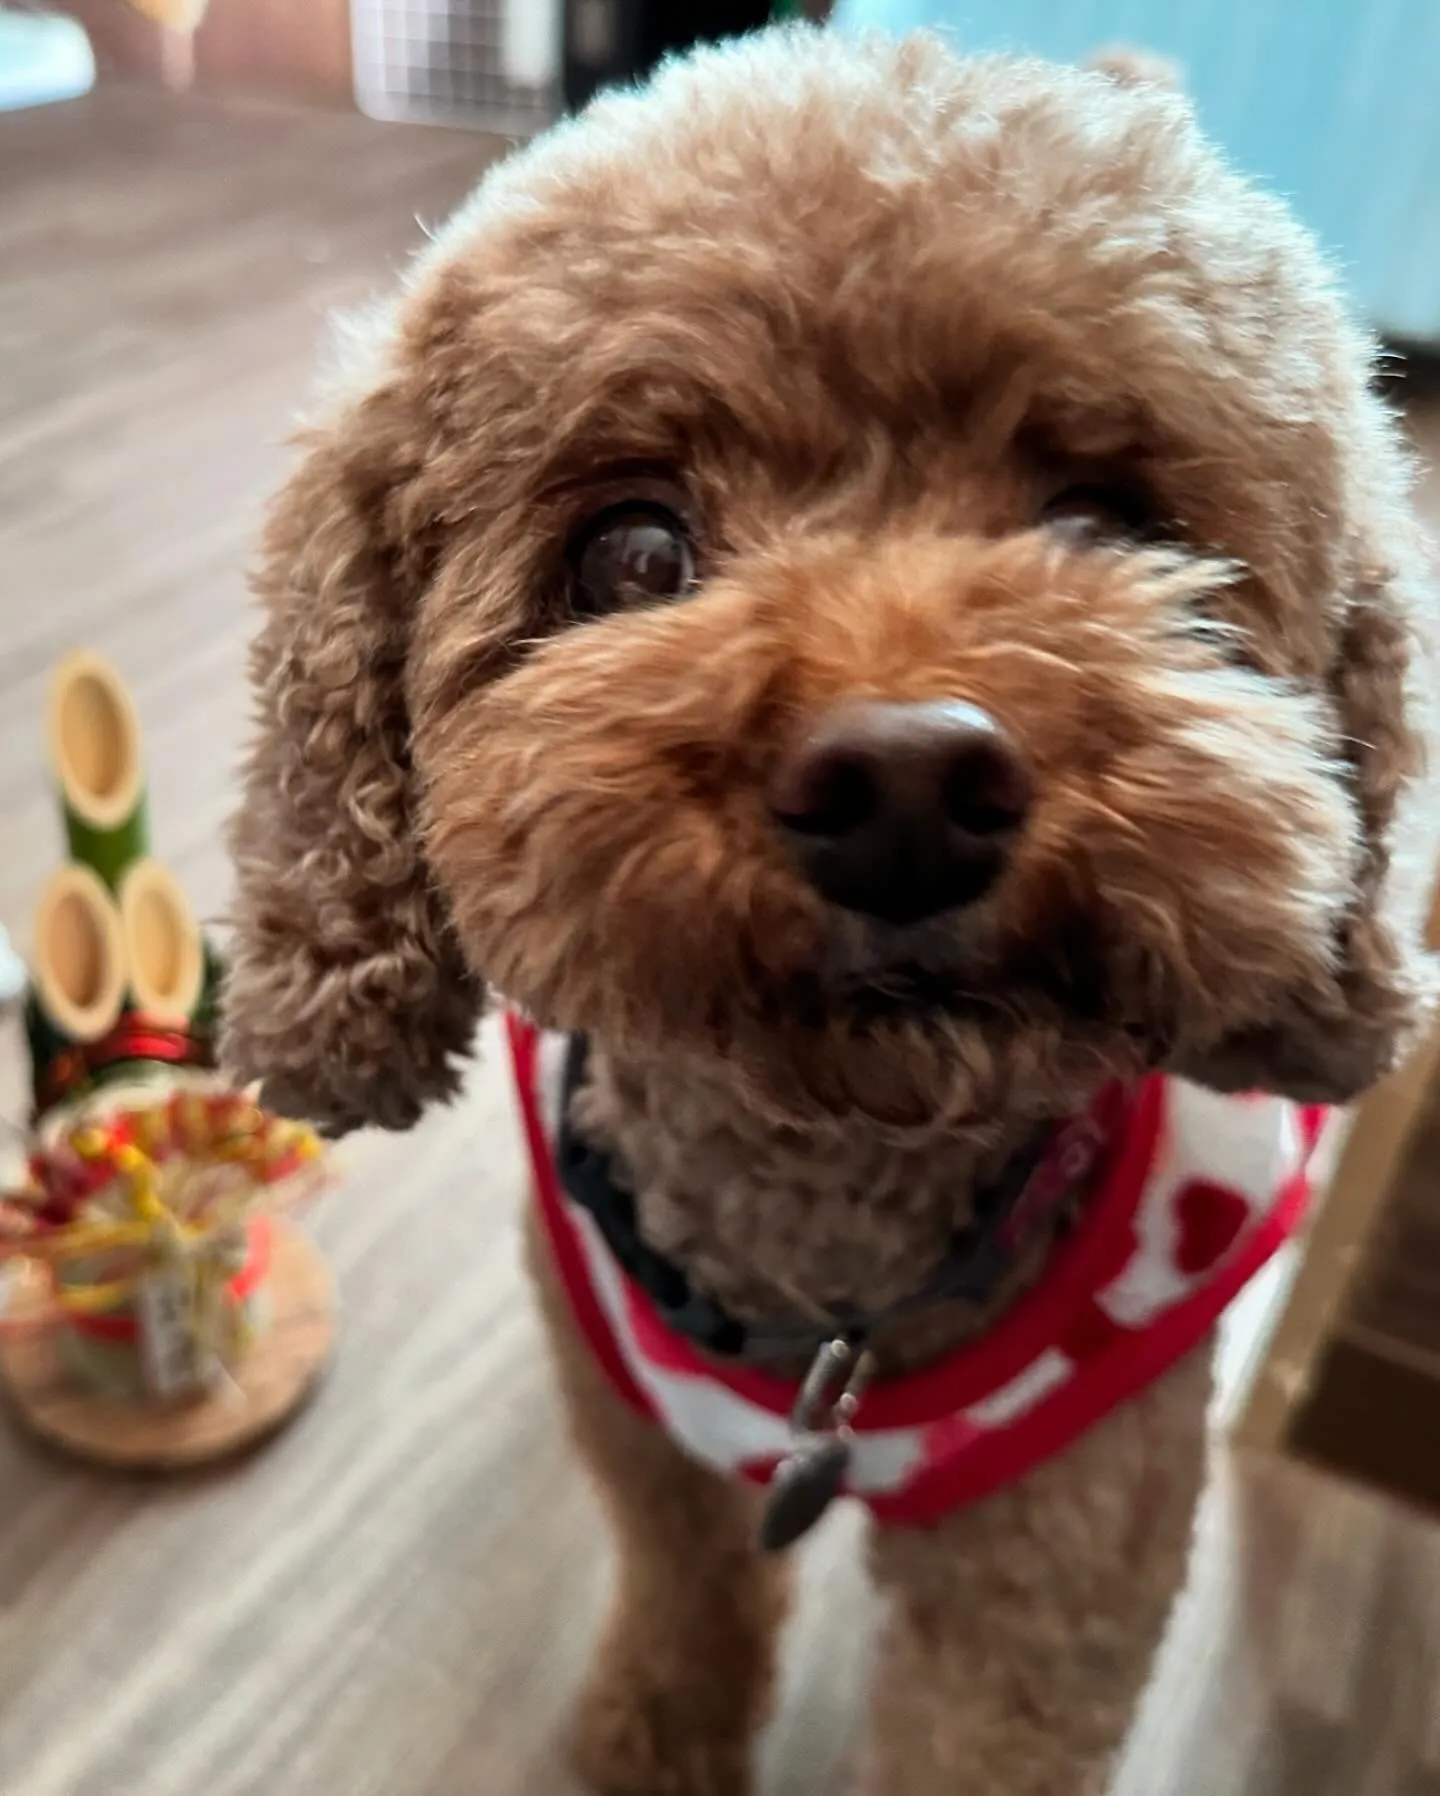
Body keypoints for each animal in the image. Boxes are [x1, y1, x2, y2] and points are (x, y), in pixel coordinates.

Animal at [221, 28, 1436, 1796]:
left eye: (1112, 525)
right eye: (632, 550)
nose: (907, 786)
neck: (829, 1302)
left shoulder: (1067, 1557)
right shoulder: (639, 1431)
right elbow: (684, 1592)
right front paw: (650, 1740)